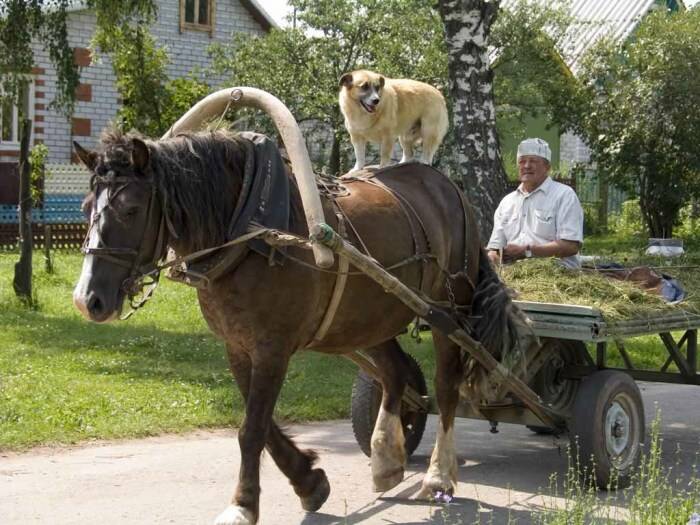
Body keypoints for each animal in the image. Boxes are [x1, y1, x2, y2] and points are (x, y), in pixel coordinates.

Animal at [74, 128, 516, 524]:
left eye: (130, 209)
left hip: (448, 311)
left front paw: (243, 505)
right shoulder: (238, 347)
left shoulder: (273, 348)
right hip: (371, 315)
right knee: (394, 374)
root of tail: (448, 187)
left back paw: (438, 475)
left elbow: (252, 430)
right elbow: (260, 425)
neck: (249, 230)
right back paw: (387, 459)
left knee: (445, 388)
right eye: (85, 207)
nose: (87, 299)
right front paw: (310, 482)